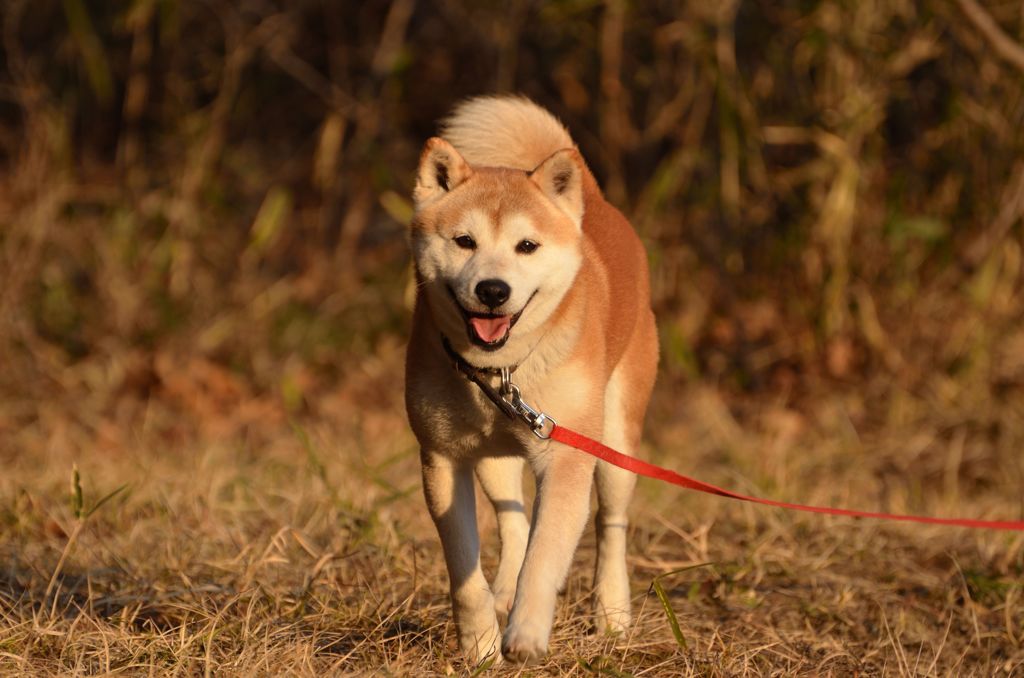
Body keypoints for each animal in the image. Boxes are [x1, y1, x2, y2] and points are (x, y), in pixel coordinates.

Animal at [403, 98, 659, 667]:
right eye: (464, 241)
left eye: (527, 245)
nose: (493, 290)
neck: (501, 372)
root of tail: (597, 202)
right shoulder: (442, 458)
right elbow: (465, 573)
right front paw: (480, 646)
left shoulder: (565, 456)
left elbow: (545, 557)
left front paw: (525, 635)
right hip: (493, 459)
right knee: (513, 518)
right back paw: (504, 591)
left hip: (613, 440)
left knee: (610, 525)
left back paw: (612, 612)